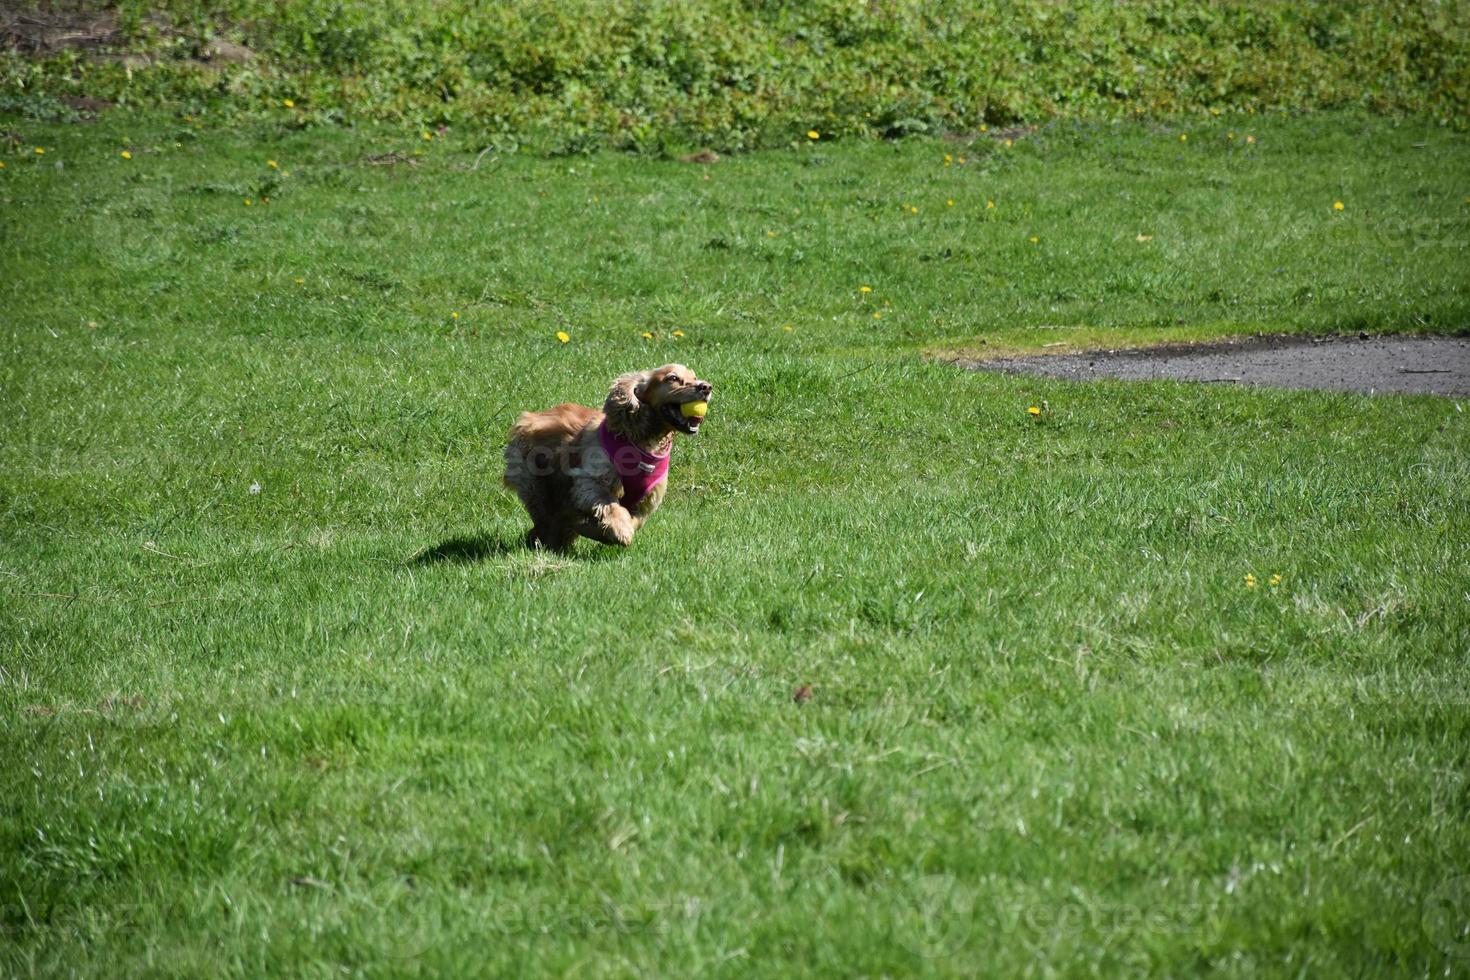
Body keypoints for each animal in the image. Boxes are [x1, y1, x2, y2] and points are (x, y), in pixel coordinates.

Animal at [505, 365, 711, 555]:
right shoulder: (592, 482)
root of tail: (528, 418)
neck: (644, 441)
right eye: (673, 378)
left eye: (694, 377)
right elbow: (612, 508)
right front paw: (620, 532)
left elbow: (633, 521)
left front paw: (600, 531)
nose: (706, 387)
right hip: (537, 486)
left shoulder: (646, 502)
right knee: (547, 519)